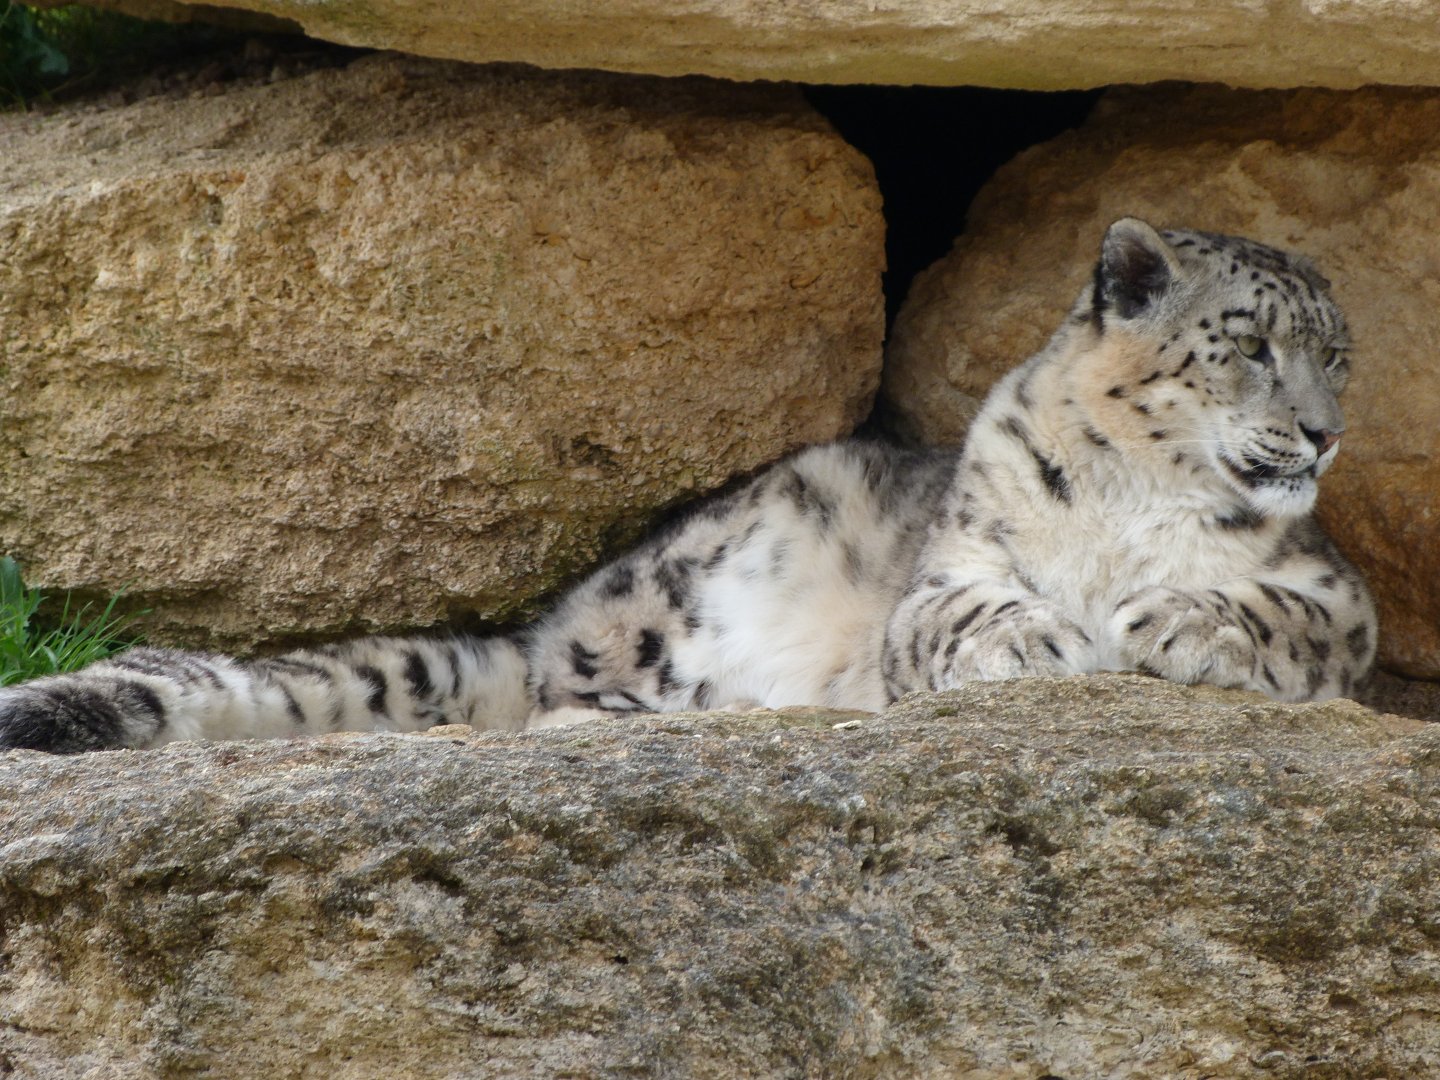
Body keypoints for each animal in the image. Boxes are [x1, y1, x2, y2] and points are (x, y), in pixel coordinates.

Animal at [0, 218, 1376, 752]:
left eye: (1340, 356)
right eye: (1252, 344)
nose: (1321, 437)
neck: (1134, 502)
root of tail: (555, 632)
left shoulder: (1335, 597)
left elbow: (1278, 613)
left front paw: (1169, 619)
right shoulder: (954, 566)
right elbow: (963, 613)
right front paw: (1043, 643)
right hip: (668, 606)